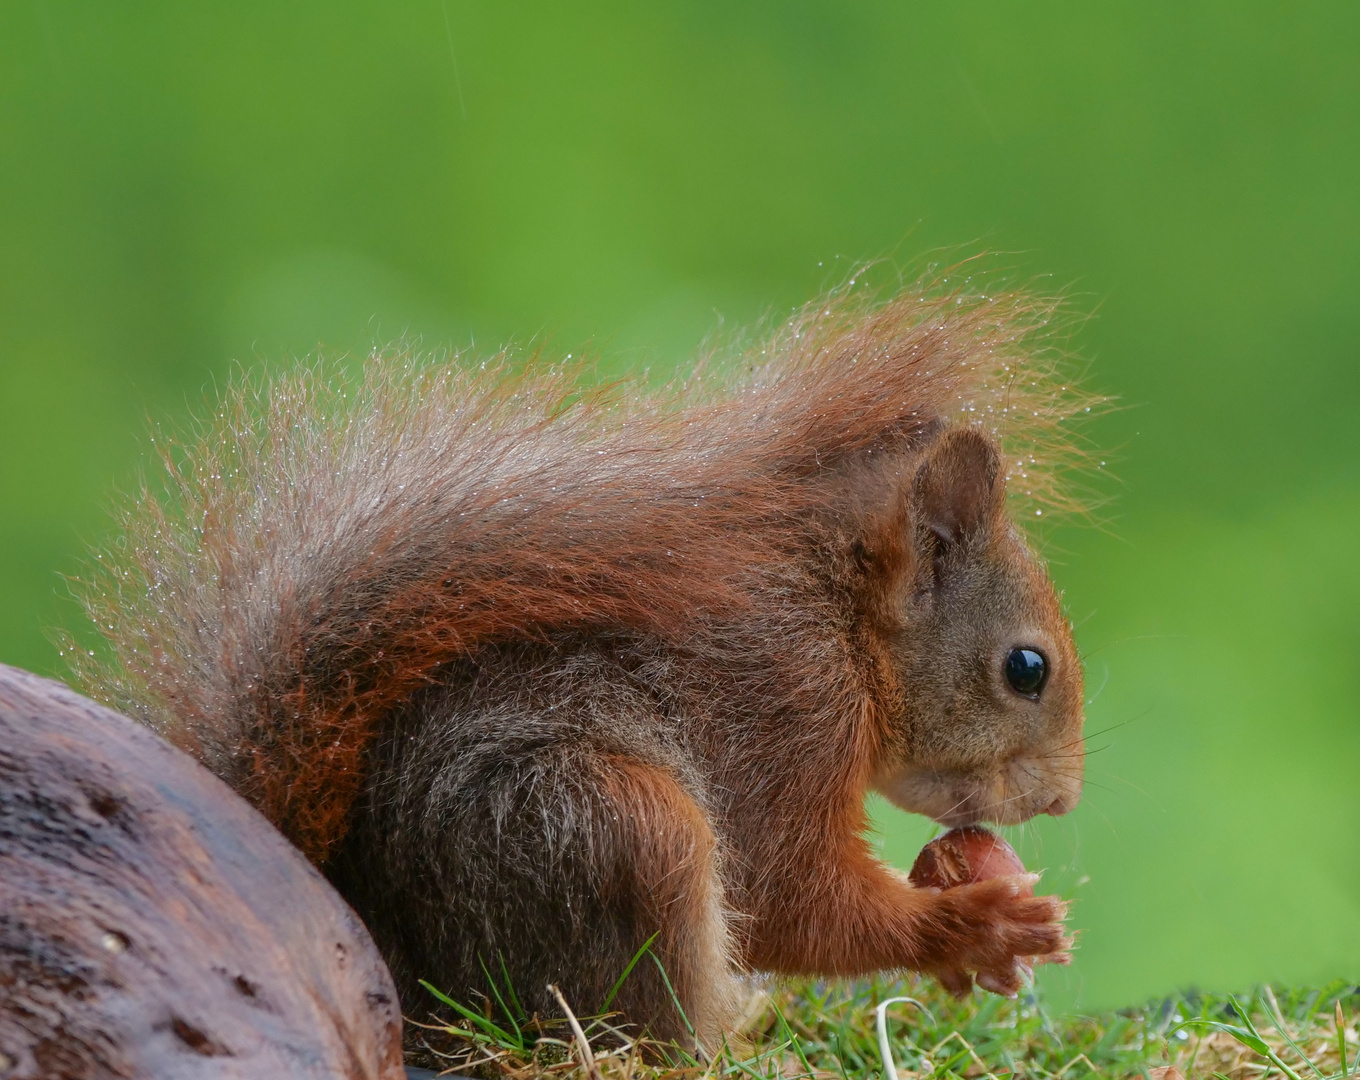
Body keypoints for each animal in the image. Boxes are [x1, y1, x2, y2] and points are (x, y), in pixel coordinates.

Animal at [71, 281, 1093, 1050]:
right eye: (1026, 668)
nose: (1064, 802)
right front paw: (972, 927)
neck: (841, 627)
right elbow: (785, 893)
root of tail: (374, 929)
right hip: (610, 828)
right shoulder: (786, 703)